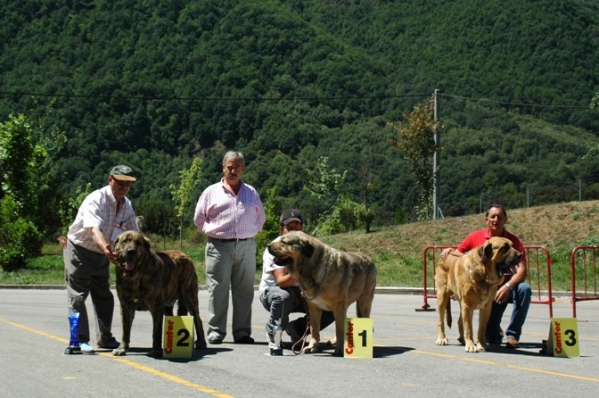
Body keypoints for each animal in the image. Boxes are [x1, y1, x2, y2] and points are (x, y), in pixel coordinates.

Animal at [111, 230, 207, 358]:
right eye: (124, 241)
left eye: (138, 243)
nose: (131, 251)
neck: (135, 276)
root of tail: (185, 255)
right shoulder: (126, 307)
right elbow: (125, 330)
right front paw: (122, 348)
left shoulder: (156, 307)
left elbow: (156, 331)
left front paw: (156, 350)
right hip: (167, 305)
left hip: (189, 297)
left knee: (197, 319)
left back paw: (201, 342)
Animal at [268, 230, 376, 358]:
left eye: (283, 241)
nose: (267, 246)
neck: (311, 267)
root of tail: (370, 258)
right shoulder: (314, 307)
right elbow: (314, 329)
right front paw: (312, 347)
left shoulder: (338, 307)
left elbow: (339, 329)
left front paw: (340, 349)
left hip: (364, 302)